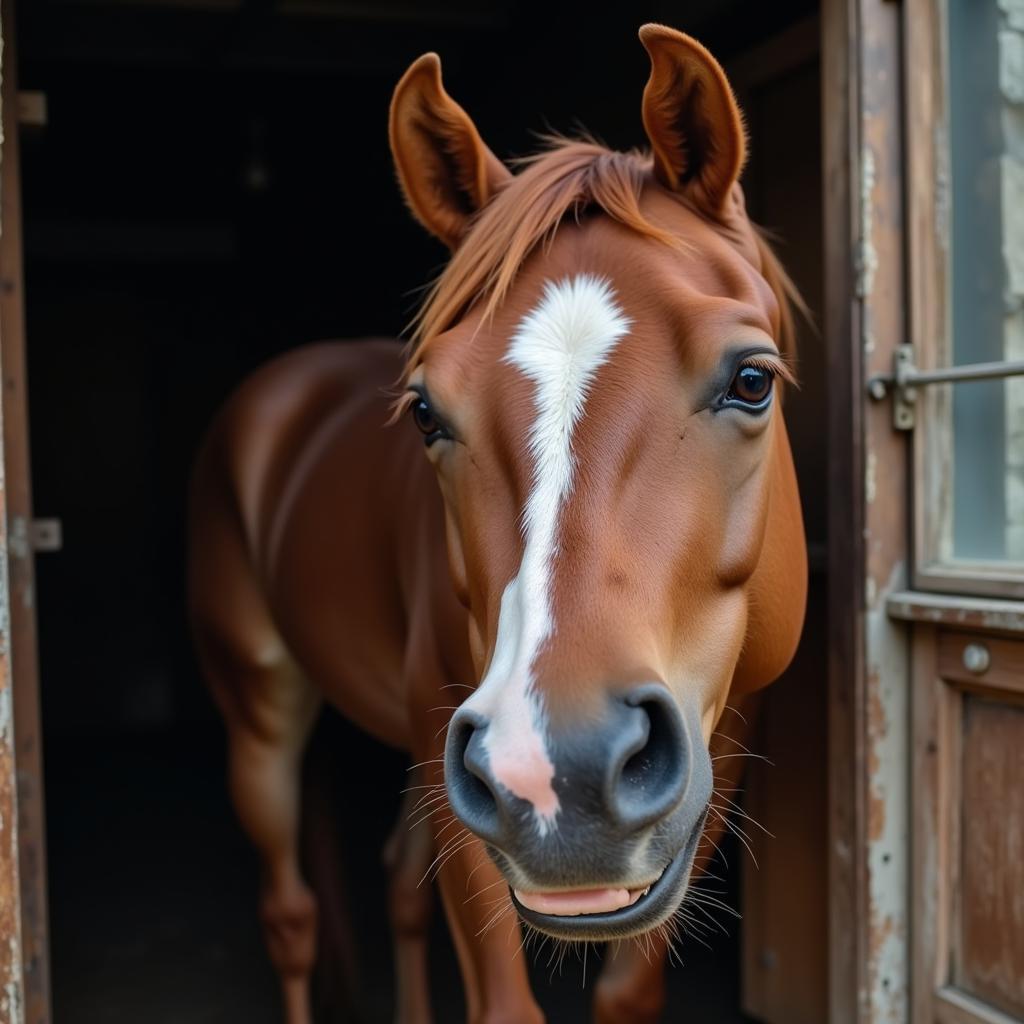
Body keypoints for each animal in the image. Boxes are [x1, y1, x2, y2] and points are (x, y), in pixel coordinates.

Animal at [186, 25, 806, 1024]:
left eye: (752, 380)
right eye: (426, 412)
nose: (559, 773)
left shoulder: (716, 768)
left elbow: (627, 990)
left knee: (395, 889)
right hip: (265, 715)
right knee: (290, 915)